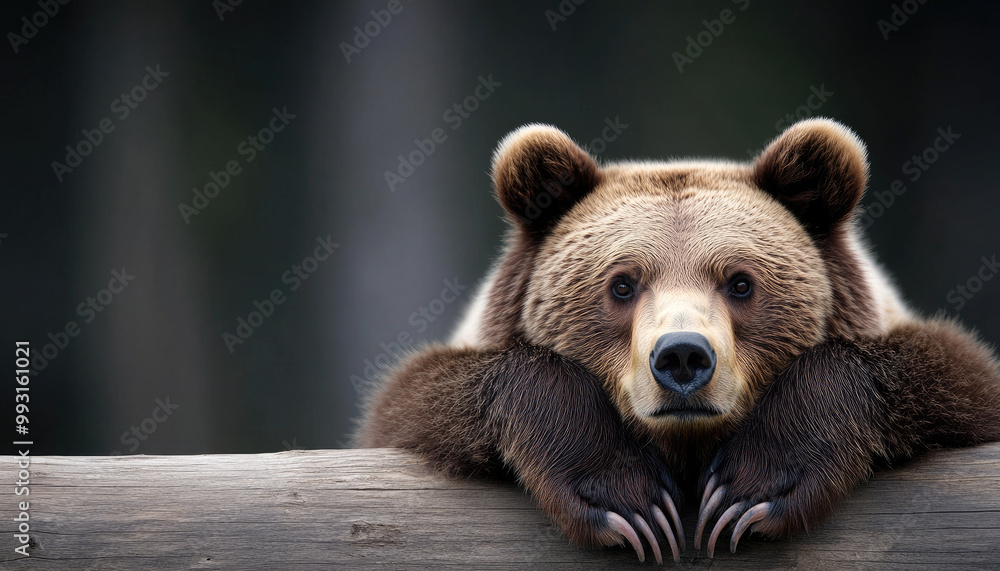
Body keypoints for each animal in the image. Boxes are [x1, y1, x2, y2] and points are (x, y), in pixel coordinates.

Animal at [357, 118, 1000, 564]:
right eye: (621, 283)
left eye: (740, 281)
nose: (683, 356)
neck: (685, 446)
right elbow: (422, 397)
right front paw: (628, 501)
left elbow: (945, 377)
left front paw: (748, 490)